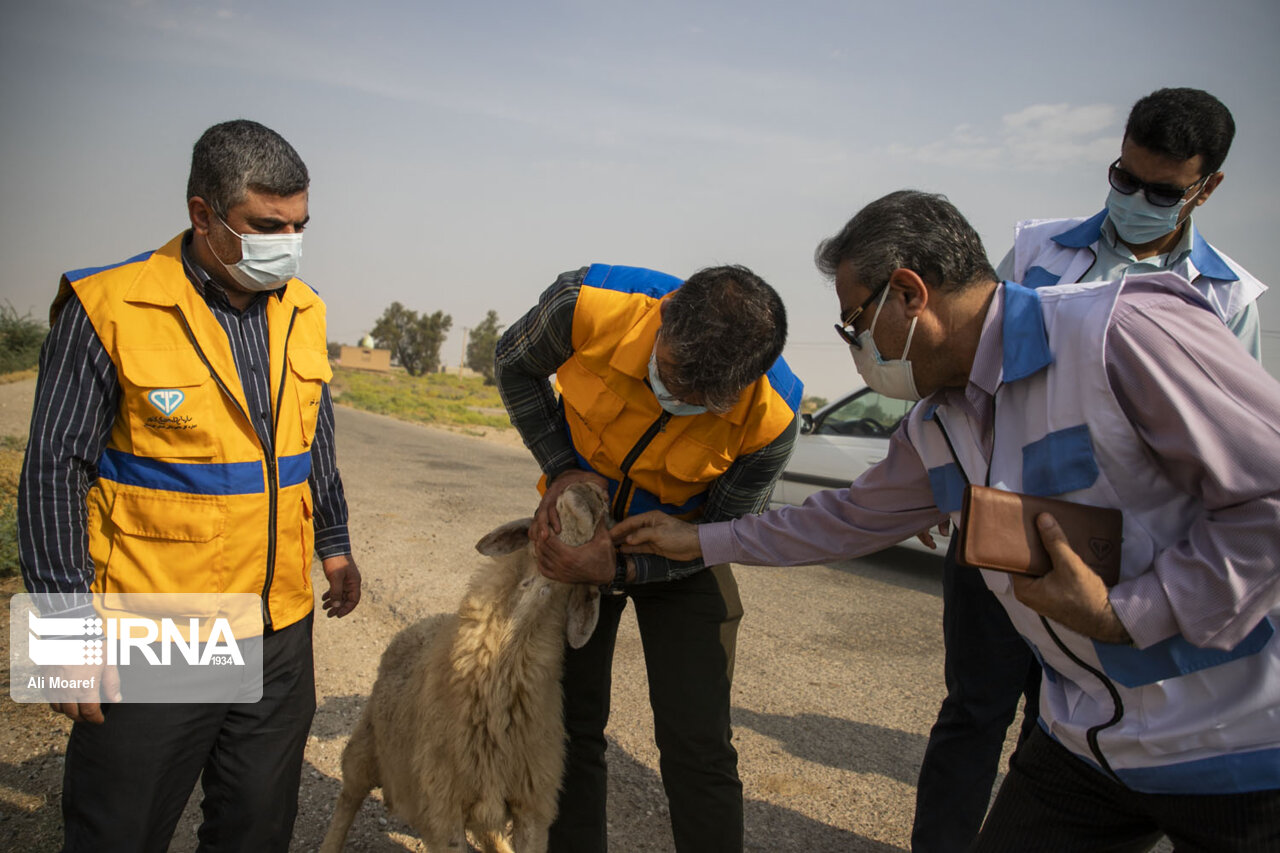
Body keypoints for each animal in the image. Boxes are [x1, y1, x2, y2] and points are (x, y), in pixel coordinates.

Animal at [314, 481, 604, 845]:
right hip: (365, 747)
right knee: (348, 798)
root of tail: (424, 622)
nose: (594, 489)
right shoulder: (443, 806)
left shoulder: (533, 806)